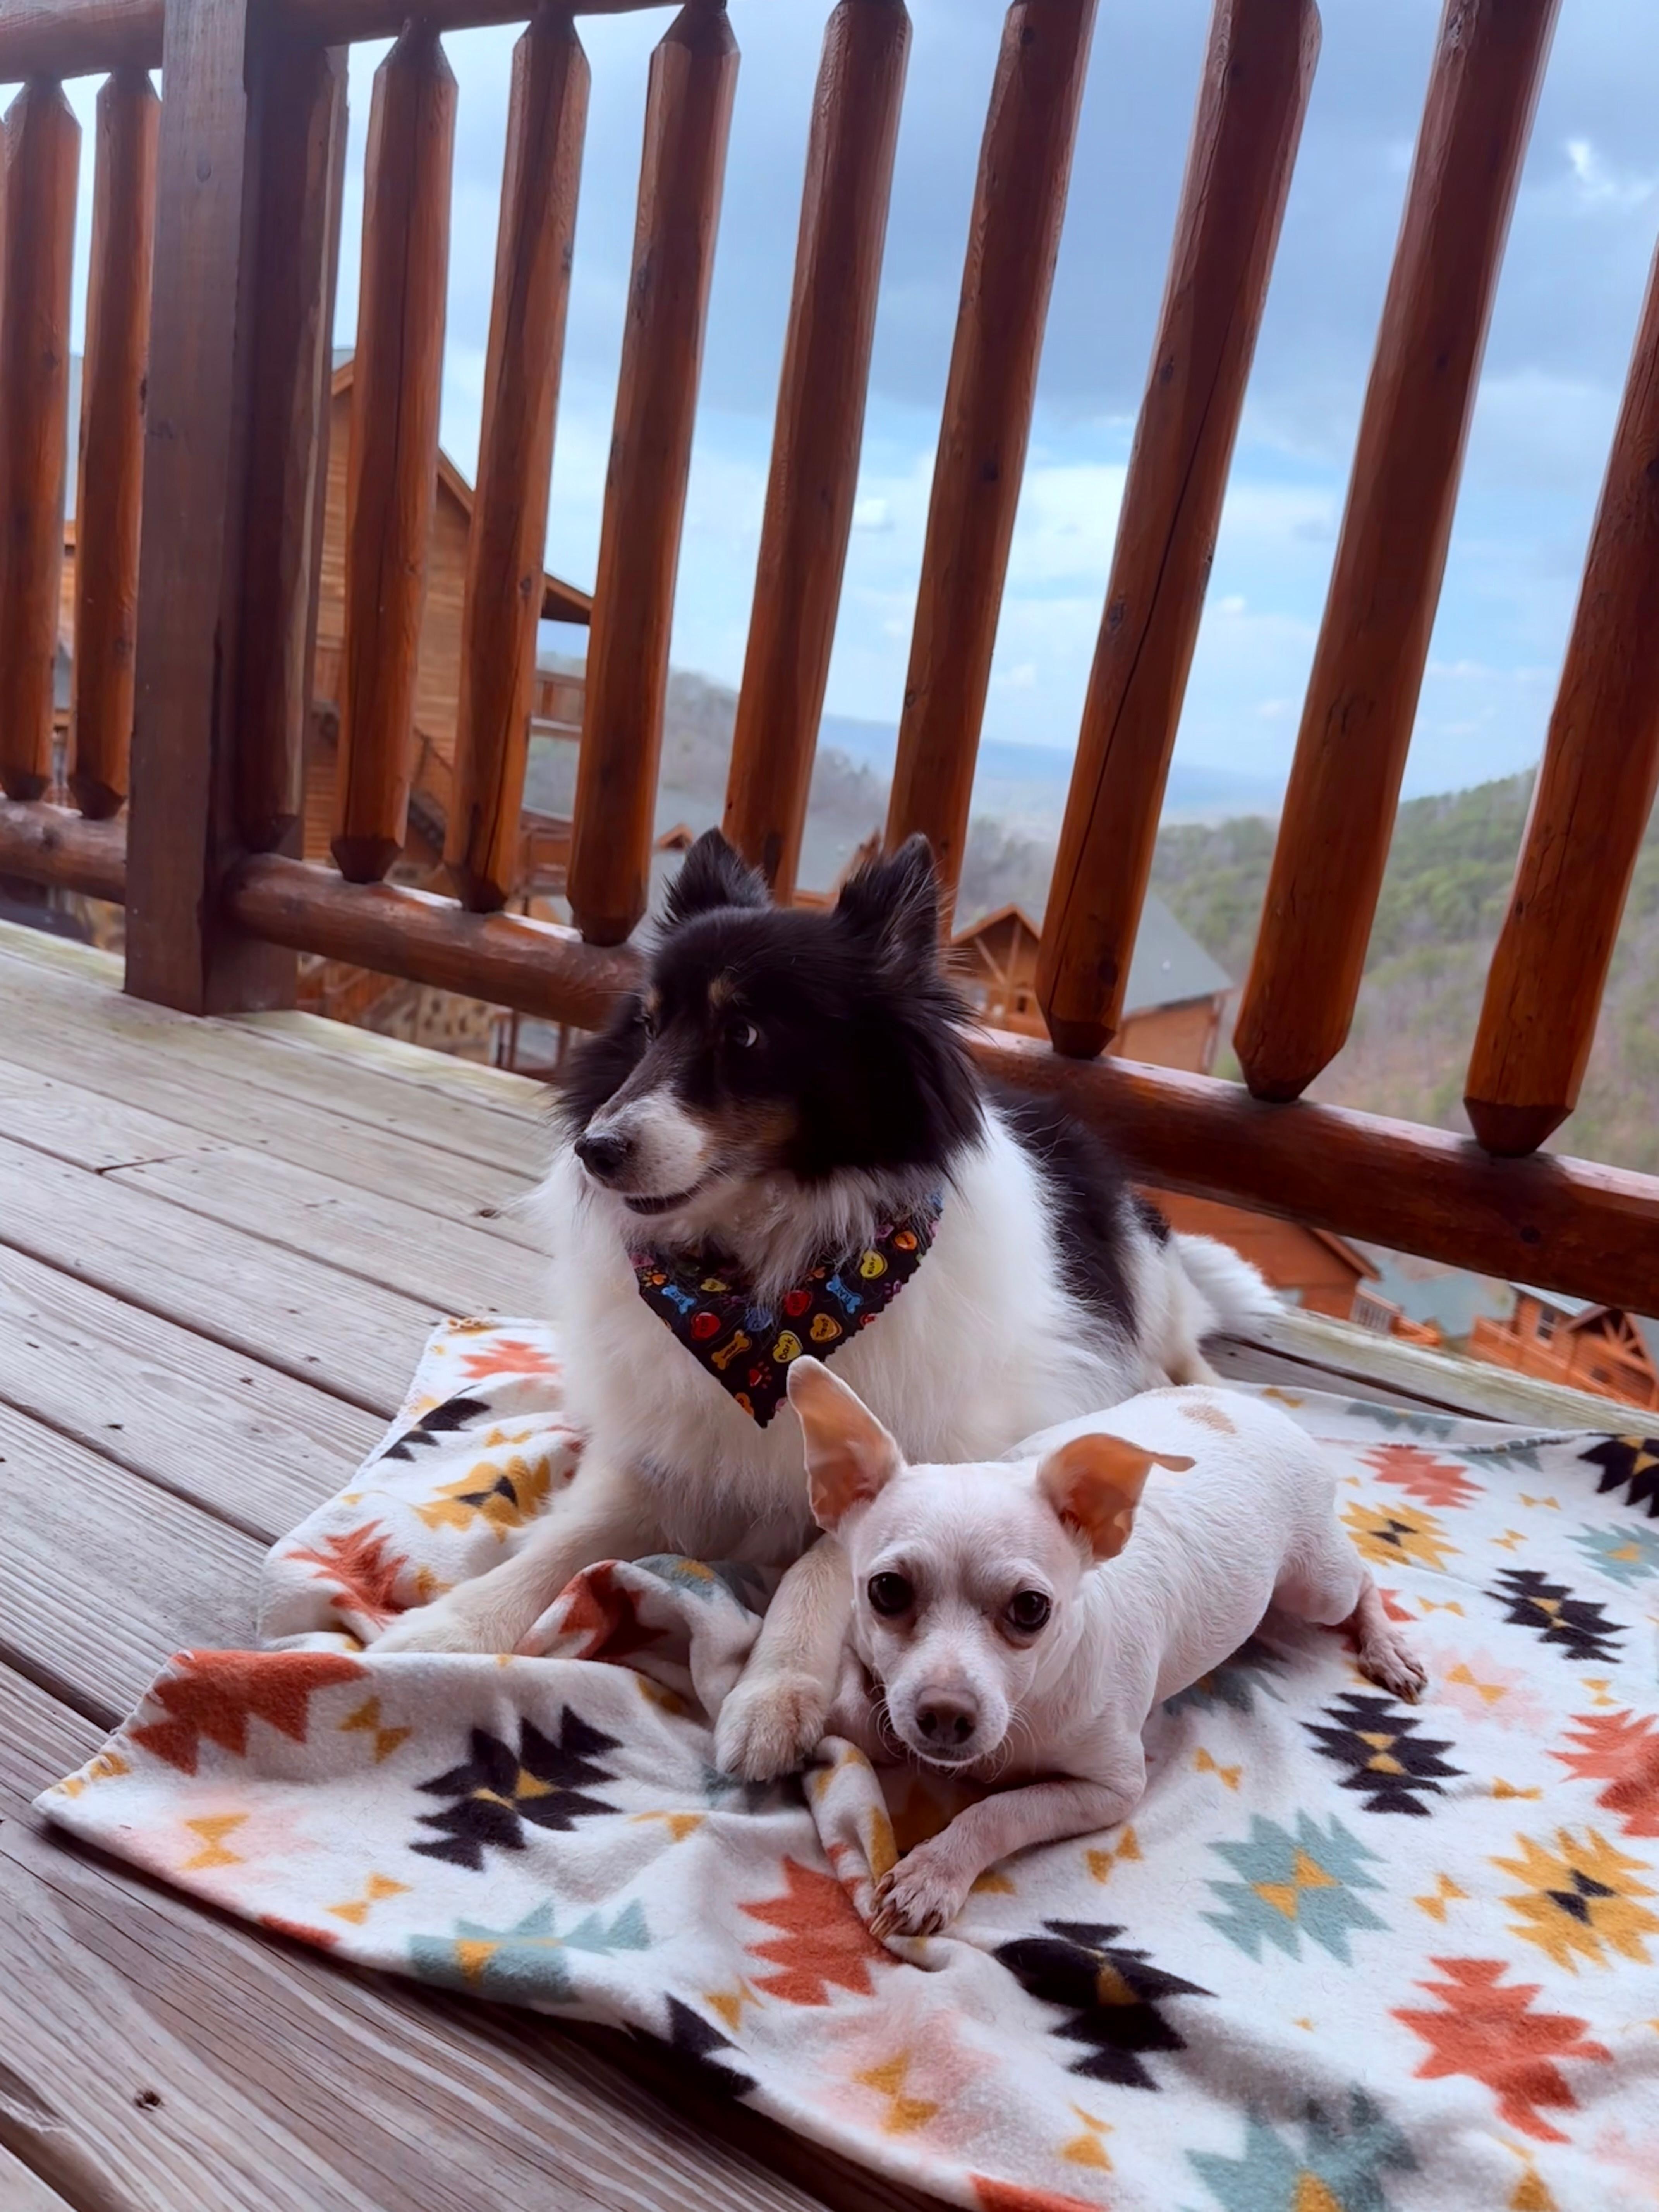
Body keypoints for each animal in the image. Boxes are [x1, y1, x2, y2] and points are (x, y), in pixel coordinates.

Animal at [377, 830, 1275, 1779]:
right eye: (649, 1026)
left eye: (744, 1033)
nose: (596, 1150)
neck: (769, 1287)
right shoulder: (659, 1450)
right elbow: (564, 1541)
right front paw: (452, 1626)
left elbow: (822, 1566)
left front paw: (775, 1692)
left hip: (1145, 1267)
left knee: (1182, 1345)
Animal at [783, 1356, 1427, 1939]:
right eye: (887, 1591)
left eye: (1031, 1609)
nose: (944, 1714)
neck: (1026, 1708)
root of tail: (1248, 1404)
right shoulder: (870, 1670)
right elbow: (854, 1713)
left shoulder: (1112, 1789)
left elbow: (998, 1810)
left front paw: (934, 1872)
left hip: (1316, 1586)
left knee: (1363, 1579)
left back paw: (1388, 1647)